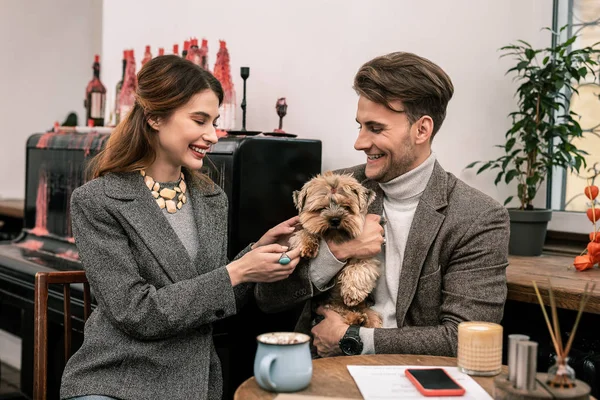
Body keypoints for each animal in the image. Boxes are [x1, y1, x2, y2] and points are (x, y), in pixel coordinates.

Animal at [292, 172, 384, 328]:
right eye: (321, 208)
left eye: (346, 207)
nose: (335, 219)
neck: (336, 236)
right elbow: (305, 231)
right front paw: (308, 244)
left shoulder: (366, 257)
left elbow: (359, 269)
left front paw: (352, 293)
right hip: (328, 304)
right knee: (337, 309)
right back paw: (355, 318)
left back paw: (360, 319)